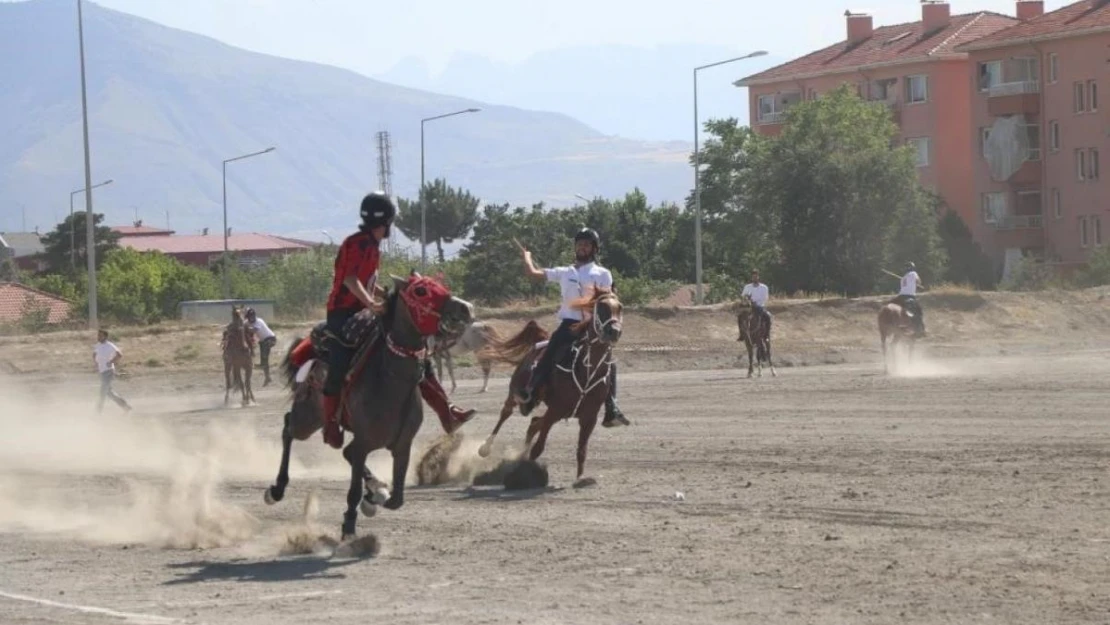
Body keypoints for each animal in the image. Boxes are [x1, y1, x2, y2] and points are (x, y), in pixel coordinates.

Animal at [263, 276, 472, 539]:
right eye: (421, 290)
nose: (465, 307)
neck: (390, 380)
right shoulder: (364, 442)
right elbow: (353, 490)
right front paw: (350, 525)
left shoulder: (402, 445)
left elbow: (396, 498)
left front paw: (374, 497)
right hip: (307, 419)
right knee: (288, 427)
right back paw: (276, 489)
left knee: (343, 451)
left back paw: (374, 488)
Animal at [475, 288, 626, 484]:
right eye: (601, 306)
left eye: (620, 307)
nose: (613, 331)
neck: (585, 370)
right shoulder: (555, 410)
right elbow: (538, 448)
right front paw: (526, 471)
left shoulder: (588, 417)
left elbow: (582, 449)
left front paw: (581, 478)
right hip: (516, 393)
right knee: (506, 413)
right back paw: (485, 448)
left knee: (534, 423)